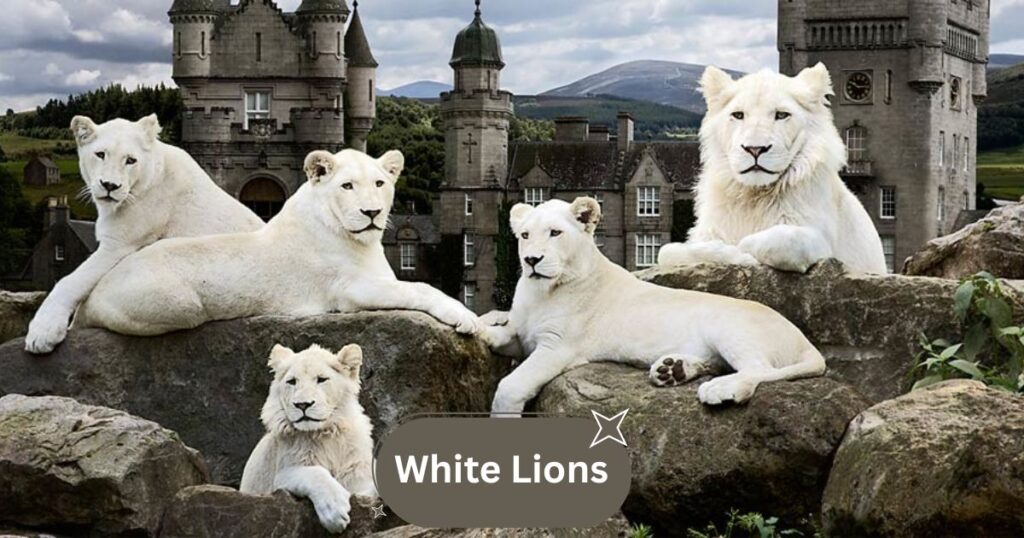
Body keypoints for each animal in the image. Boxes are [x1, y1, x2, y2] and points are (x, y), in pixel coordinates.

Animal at [24, 114, 264, 354]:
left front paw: (42, 333)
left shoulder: (119, 244)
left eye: (130, 160)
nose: (110, 185)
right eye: (100, 154)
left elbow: (70, 282)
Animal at [74, 148, 481, 336]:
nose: (371, 212)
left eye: (380, 183)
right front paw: (466, 317)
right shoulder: (350, 290)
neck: (359, 240)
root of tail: (91, 297)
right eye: (347, 185)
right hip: (183, 305)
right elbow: (420, 289)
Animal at [240, 343, 376, 534]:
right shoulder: (279, 477)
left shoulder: (358, 477)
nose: (303, 404)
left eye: (321, 379)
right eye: (292, 381)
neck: (325, 434)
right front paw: (334, 512)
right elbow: (315, 473)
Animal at [482, 197, 826, 415]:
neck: (541, 291)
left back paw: (720, 389)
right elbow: (502, 333)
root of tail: (804, 340)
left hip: (728, 326)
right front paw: (481, 328)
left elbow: (510, 386)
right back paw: (672, 370)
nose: (531, 260)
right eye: (525, 235)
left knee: (759, 370)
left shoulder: (557, 347)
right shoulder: (522, 337)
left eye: (555, 233)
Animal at [657, 63, 886, 274]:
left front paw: (742, 255)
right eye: (738, 115)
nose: (755, 149)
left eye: (782, 115)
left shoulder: (824, 245)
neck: (753, 198)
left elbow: (774, 241)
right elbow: (667, 251)